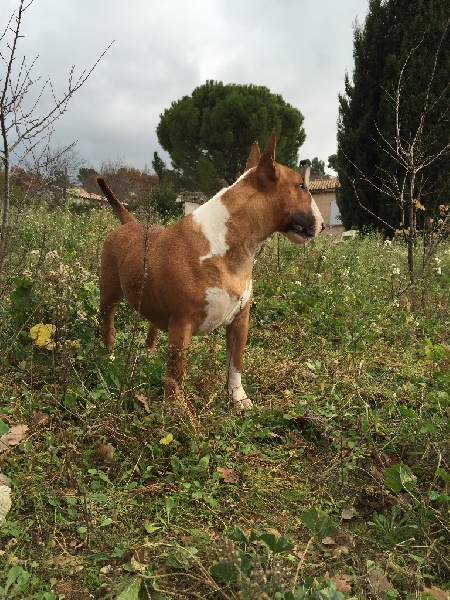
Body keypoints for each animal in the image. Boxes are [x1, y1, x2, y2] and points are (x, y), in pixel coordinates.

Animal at [97, 131, 324, 410]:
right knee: (107, 325)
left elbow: (235, 365)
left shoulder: (240, 322)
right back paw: (109, 357)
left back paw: (148, 354)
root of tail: (130, 222)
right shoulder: (181, 325)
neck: (231, 246)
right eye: (302, 186)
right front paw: (173, 411)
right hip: (109, 295)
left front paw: (238, 399)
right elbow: (175, 374)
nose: (323, 225)